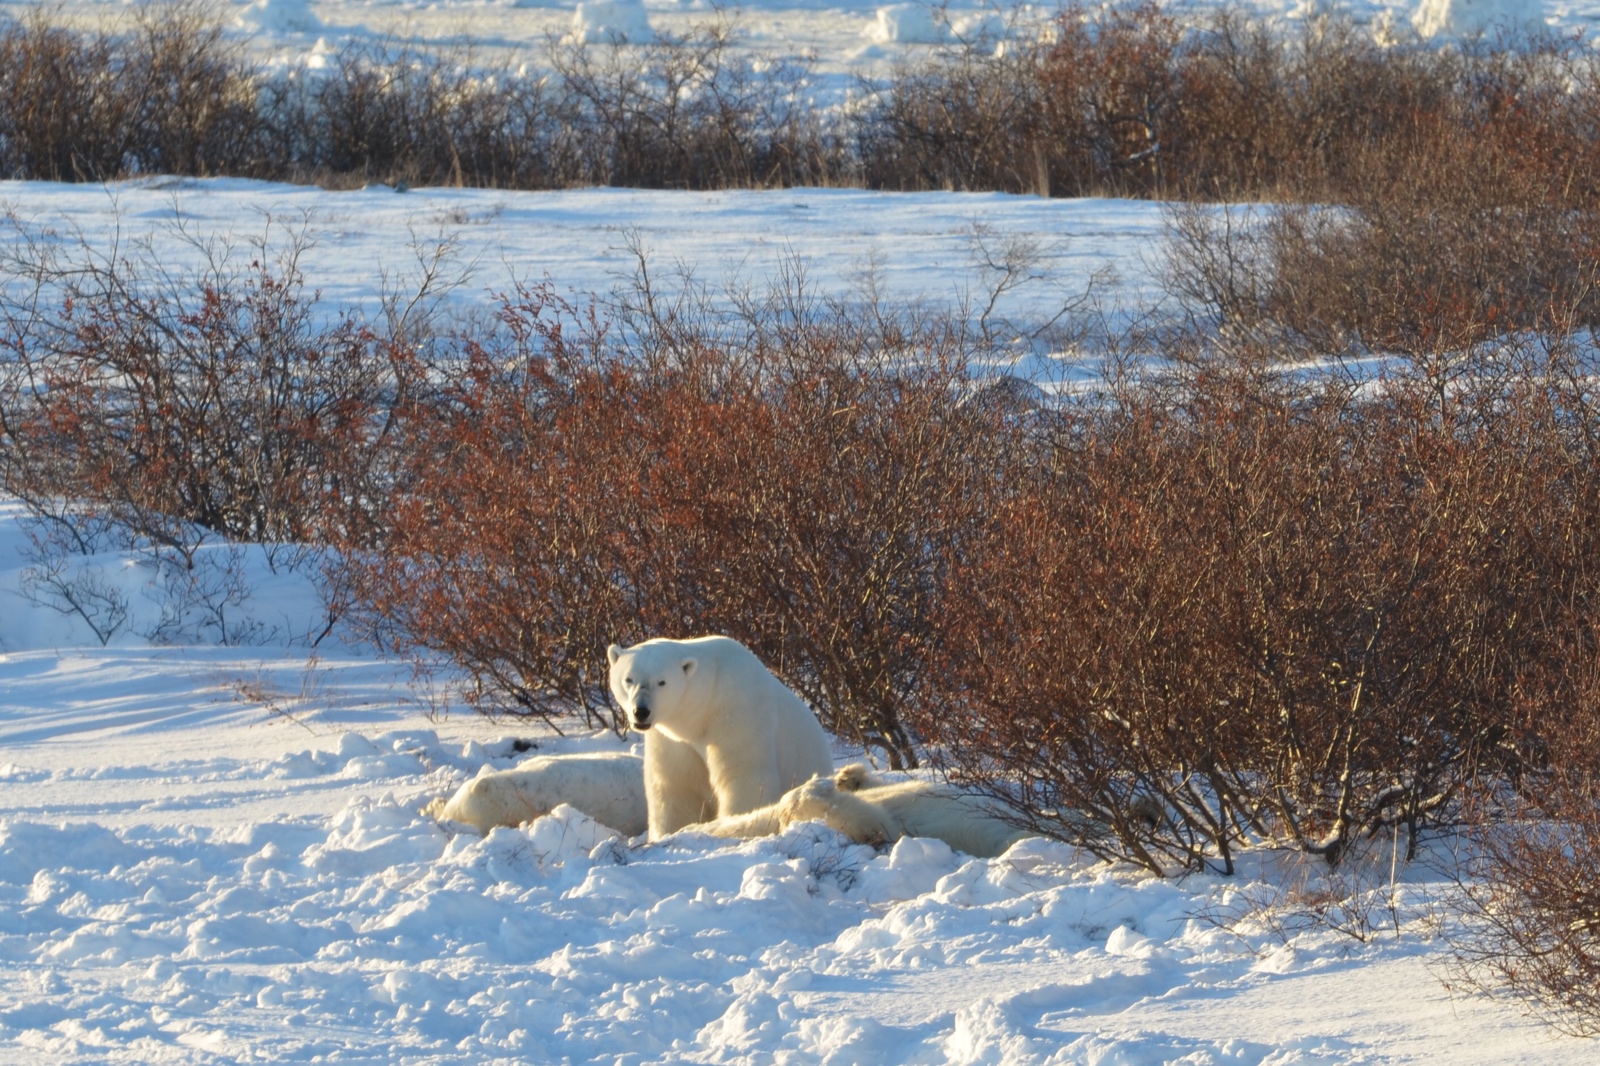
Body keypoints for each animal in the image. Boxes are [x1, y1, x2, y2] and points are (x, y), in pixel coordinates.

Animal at [607, 635, 835, 838]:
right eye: (628, 679)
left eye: (662, 682)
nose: (641, 711)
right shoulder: (671, 741)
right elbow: (677, 786)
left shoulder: (737, 711)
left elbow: (744, 776)